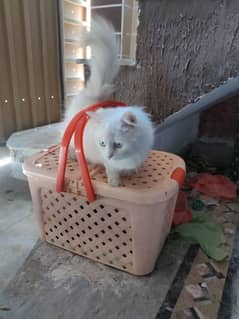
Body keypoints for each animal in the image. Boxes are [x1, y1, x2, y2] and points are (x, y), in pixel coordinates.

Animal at [62, 17, 154, 188]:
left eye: (118, 145)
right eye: (102, 144)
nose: (109, 155)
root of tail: (94, 94)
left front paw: (130, 172)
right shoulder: (108, 162)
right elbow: (112, 170)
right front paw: (114, 182)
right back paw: (71, 154)